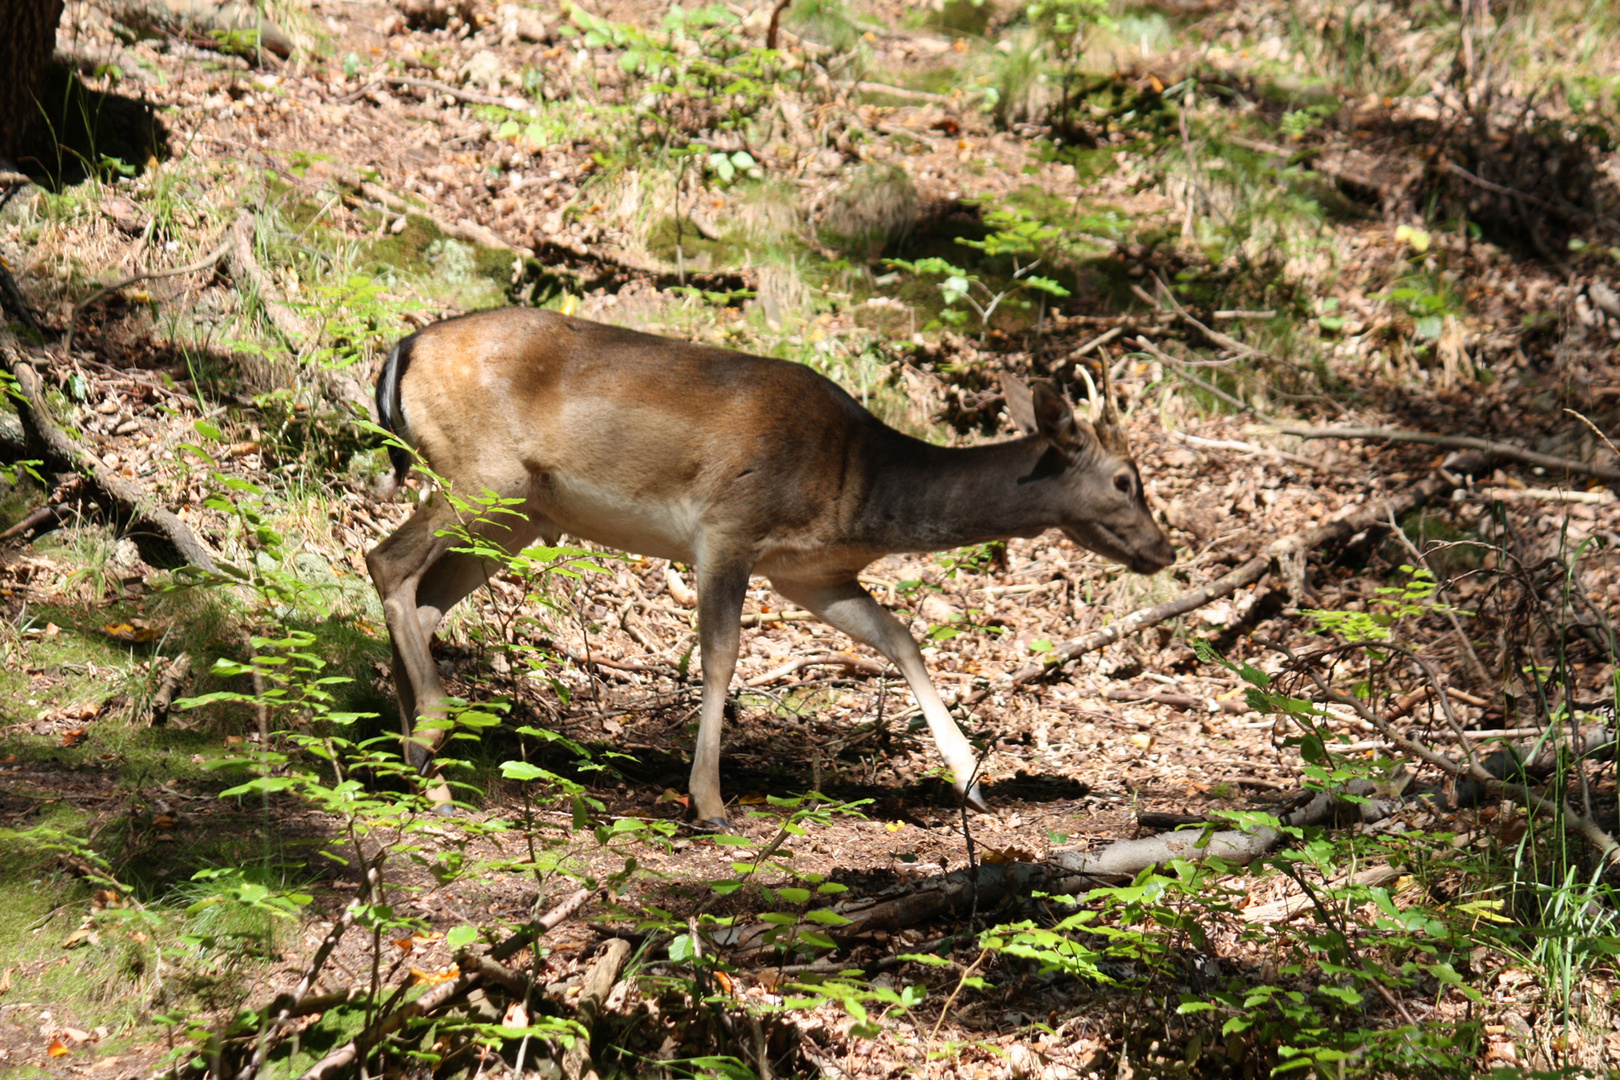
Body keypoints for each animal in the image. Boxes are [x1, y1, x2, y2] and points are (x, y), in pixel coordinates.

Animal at [367, 307, 1179, 822]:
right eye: (1126, 480)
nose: (1165, 549)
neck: (857, 485)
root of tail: (400, 351)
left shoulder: (808, 572)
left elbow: (900, 637)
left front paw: (971, 780)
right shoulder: (729, 527)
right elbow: (722, 656)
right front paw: (711, 803)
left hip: (521, 516)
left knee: (424, 601)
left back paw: (424, 774)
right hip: (481, 473)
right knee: (386, 561)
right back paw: (430, 731)